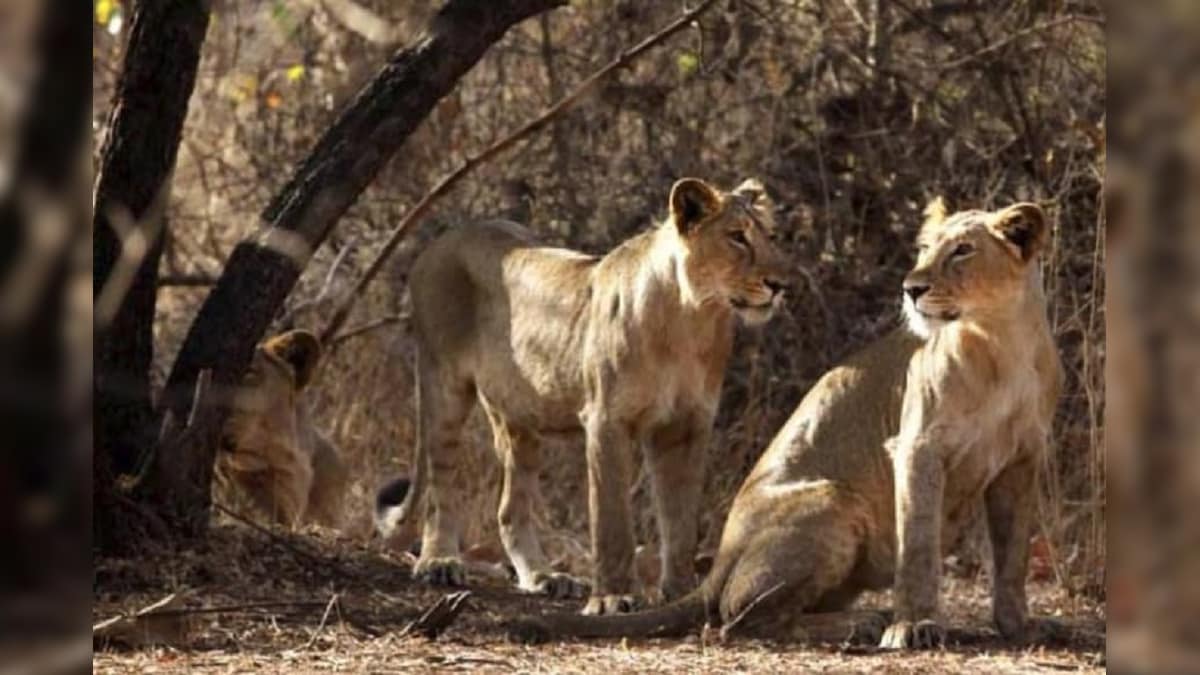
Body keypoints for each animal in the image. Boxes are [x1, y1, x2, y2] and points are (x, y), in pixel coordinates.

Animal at [374, 176, 787, 612]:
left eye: (772, 236)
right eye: (737, 237)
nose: (780, 285)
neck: (692, 319)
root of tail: (442, 240)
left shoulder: (686, 427)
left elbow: (680, 523)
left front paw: (679, 594)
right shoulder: (607, 419)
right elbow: (611, 520)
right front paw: (612, 598)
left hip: (519, 414)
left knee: (509, 509)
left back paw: (544, 577)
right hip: (445, 385)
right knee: (441, 486)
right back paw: (439, 562)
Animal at [506, 199, 1060, 648]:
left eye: (963, 251)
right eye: (926, 249)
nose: (911, 288)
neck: (1000, 344)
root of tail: (719, 560)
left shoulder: (1023, 459)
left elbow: (1012, 553)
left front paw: (1019, 626)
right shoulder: (917, 446)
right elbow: (919, 543)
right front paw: (912, 626)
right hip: (833, 500)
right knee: (735, 621)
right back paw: (863, 623)